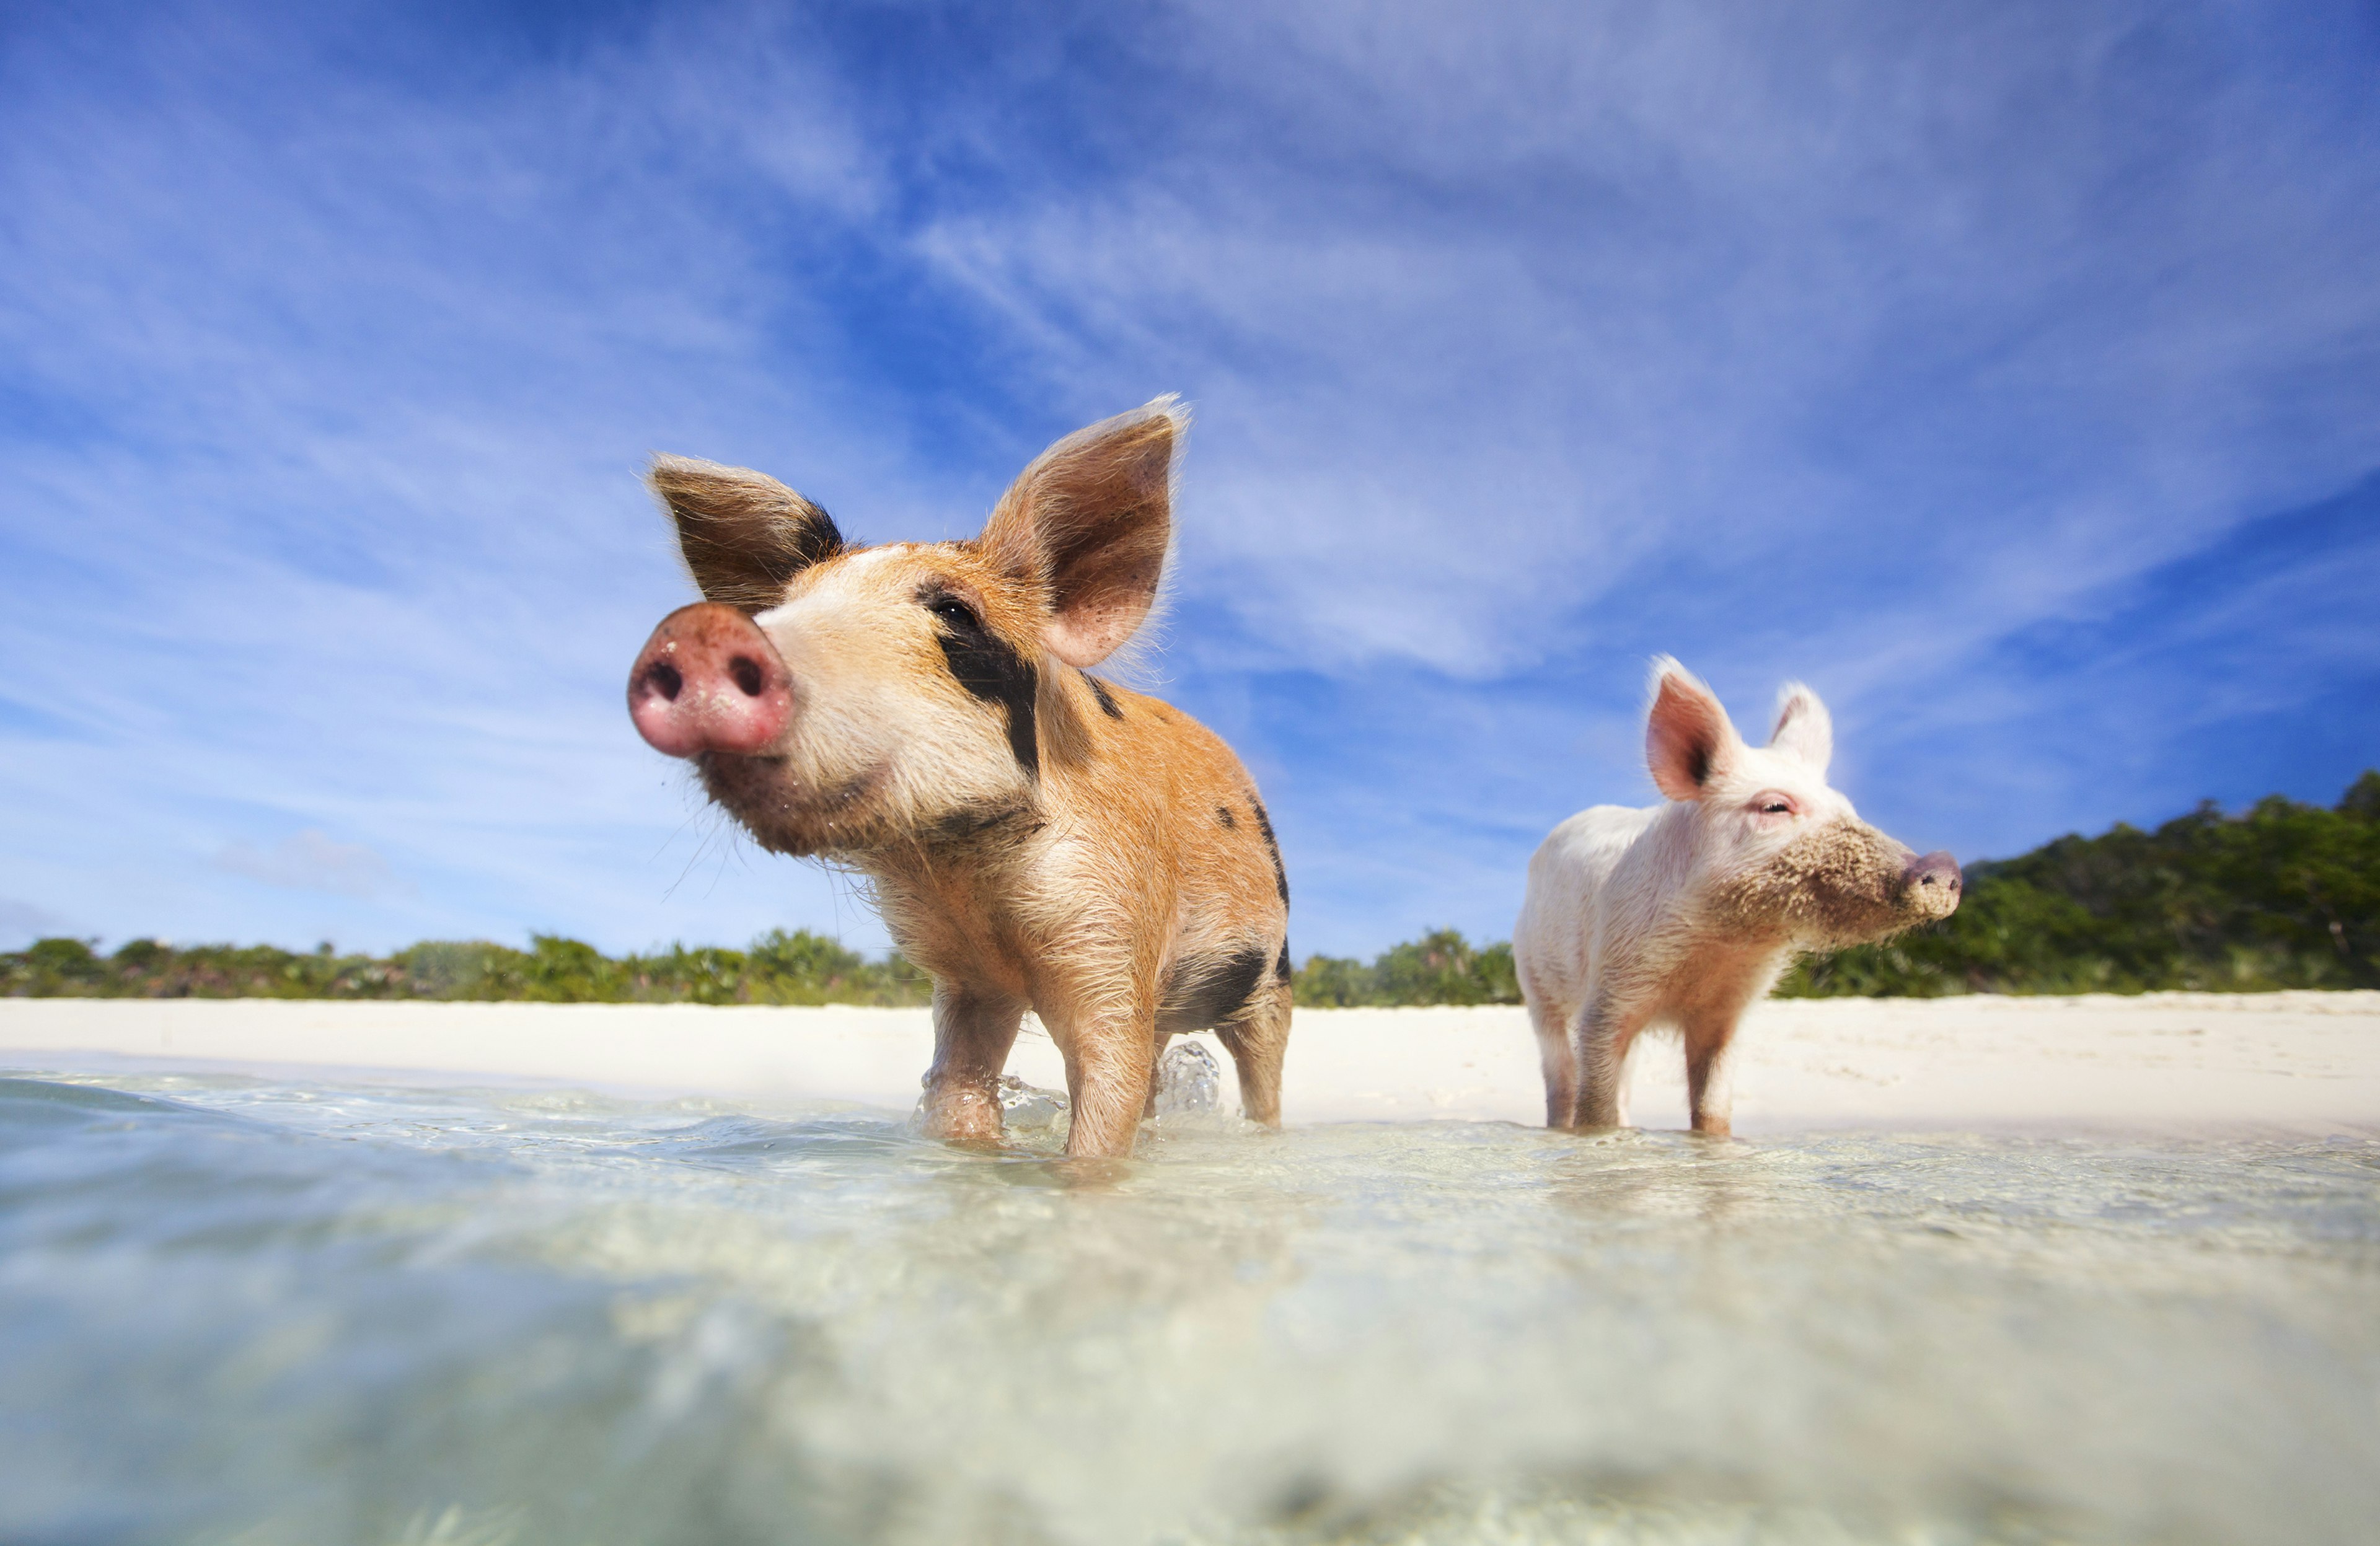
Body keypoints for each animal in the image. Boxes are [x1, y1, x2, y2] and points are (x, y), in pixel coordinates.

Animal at [624, 399, 1294, 1156]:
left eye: (955, 613)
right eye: (779, 607)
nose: (700, 632)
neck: (972, 878)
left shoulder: (1115, 930)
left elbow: (1105, 1100)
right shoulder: (967, 978)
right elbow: (960, 1090)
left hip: (1272, 977)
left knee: (1260, 1075)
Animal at [1514, 661, 1961, 1132]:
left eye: (1848, 807)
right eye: (1775, 807)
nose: (1944, 866)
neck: (1721, 944)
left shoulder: (1729, 1009)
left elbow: (1713, 1104)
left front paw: (1711, 1140)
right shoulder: (1611, 987)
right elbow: (1595, 1101)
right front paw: (1597, 1136)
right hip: (1534, 980)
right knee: (1560, 1073)